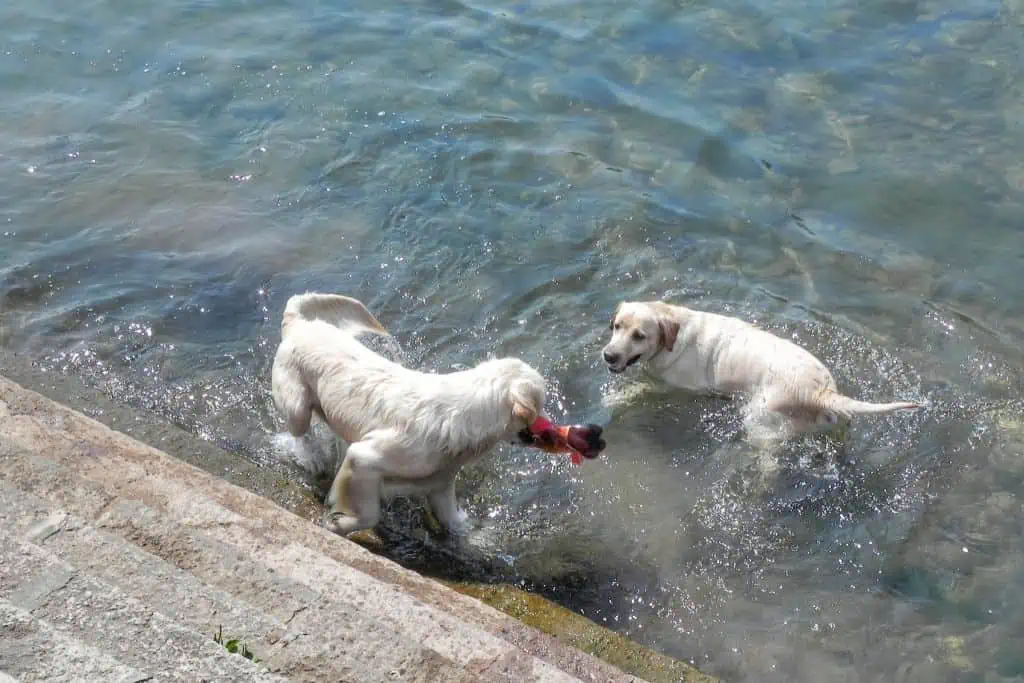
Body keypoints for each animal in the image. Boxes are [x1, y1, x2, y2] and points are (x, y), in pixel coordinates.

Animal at [272, 290, 557, 536]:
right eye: (540, 406)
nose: (553, 427)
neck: (464, 417)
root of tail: (301, 323)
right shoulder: (364, 458)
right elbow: (369, 514)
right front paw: (339, 523)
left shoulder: (441, 484)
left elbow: (456, 523)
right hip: (297, 406)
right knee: (300, 433)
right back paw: (312, 458)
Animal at [598, 301, 921, 446]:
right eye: (617, 326)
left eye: (639, 335)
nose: (608, 355)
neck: (672, 336)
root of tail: (821, 391)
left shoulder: (673, 387)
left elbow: (641, 389)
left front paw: (615, 398)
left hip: (759, 420)